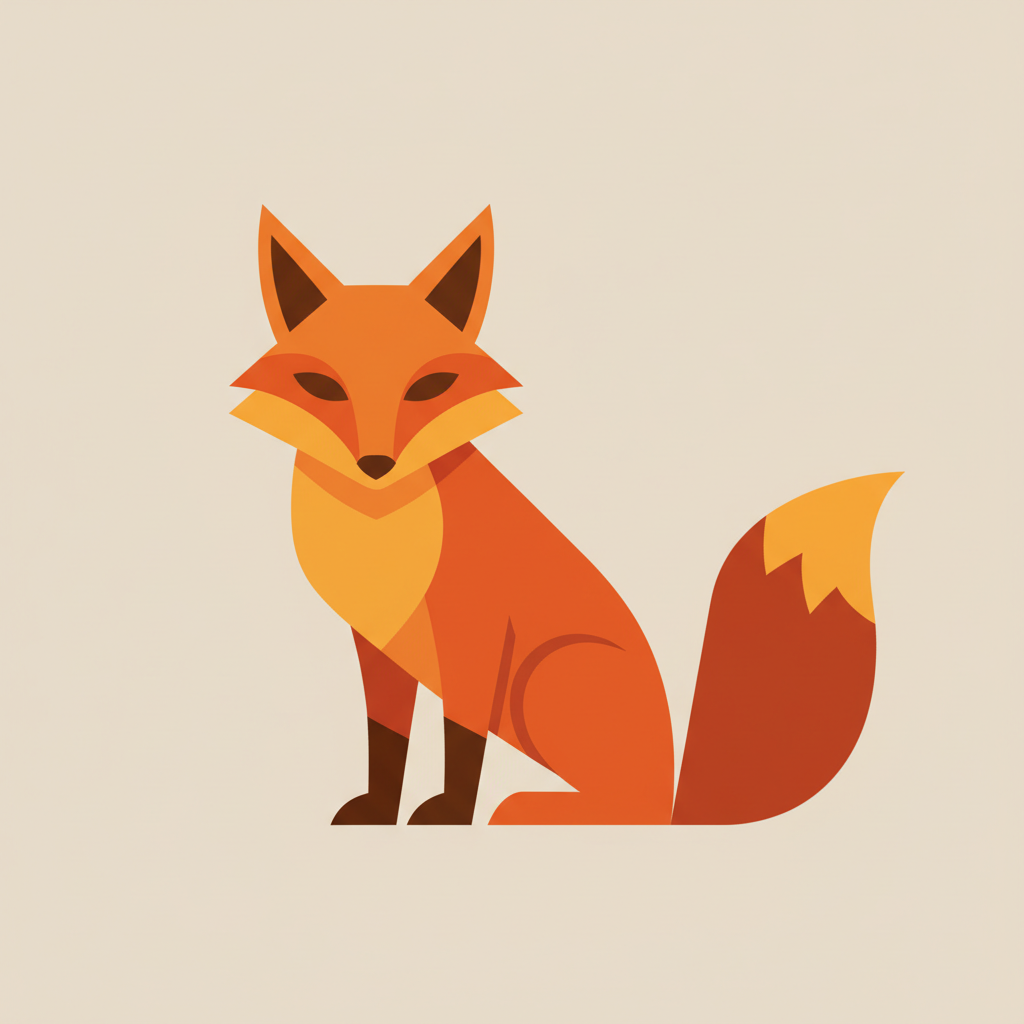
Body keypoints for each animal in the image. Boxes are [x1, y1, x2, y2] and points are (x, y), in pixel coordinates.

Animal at [231, 205, 900, 825]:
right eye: (321, 385)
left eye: (430, 386)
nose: (376, 464)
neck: (380, 533)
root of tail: (676, 796)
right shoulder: (380, 647)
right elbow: (385, 739)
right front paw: (378, 810)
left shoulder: (475, 639)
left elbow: (460, 739)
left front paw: (450, 814)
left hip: (545, 678)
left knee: (626, 810)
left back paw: (528, 808)